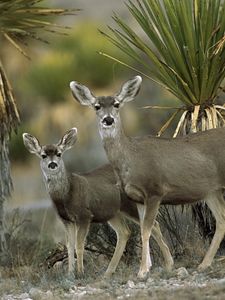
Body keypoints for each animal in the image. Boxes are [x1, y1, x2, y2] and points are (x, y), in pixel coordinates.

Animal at [22, 127, 173, 278]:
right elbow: (70, 245)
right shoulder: (66, 220)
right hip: (113, 212)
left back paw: (167, 264)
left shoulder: (84, 215)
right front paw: (70, 273)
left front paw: (80, 272)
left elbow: (79, 245)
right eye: (43, 155)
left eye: (59, 154)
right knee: (125, 232)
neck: (66, 195)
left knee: (153, 225)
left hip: (130, 205)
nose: (52, 164)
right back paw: (109, 272)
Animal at [70, 75, 225, 278]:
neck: (131, 159)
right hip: (211, 192)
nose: (108, 119)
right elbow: (148, 228)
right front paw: (150, 266)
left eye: (117, 104)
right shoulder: (137, 198)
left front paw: (143, 270)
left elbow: (146, 230)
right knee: (221, 221)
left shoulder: (154, 191)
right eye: (97, 106)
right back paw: (203, 264)